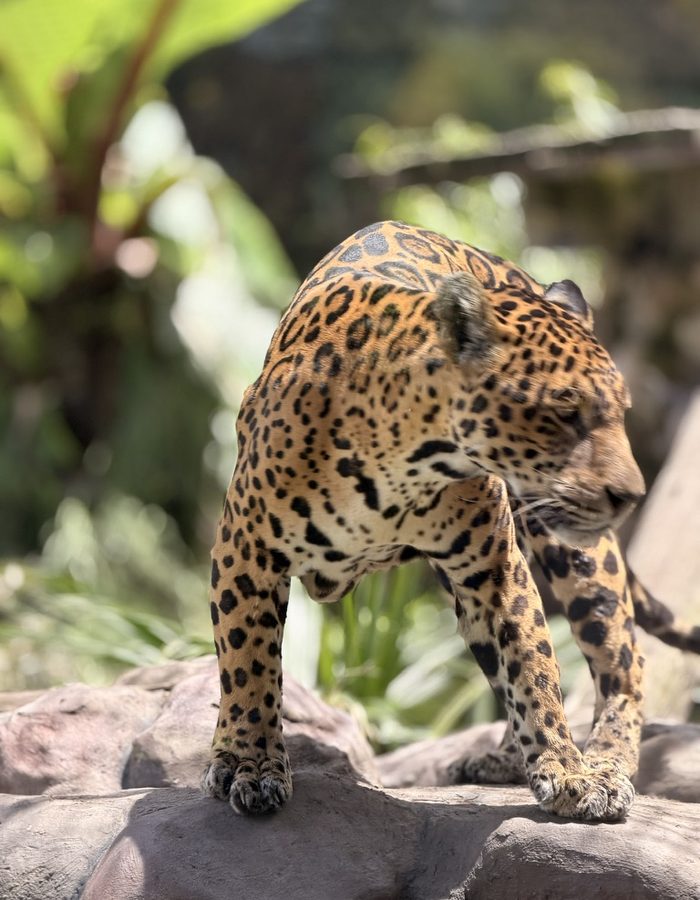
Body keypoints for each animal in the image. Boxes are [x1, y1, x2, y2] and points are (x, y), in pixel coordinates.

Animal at [202, 219, 700, 822]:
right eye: (563, 412)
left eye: (621, 414)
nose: (631, 495)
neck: (406, 458)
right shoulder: (246, 549)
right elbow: (247, 661)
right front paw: (250, 763)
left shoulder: (497, 571)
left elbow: (535, 665)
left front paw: (567, 770)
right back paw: (506, 760)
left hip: (574, 553)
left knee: (622, 664)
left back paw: (603, 764)